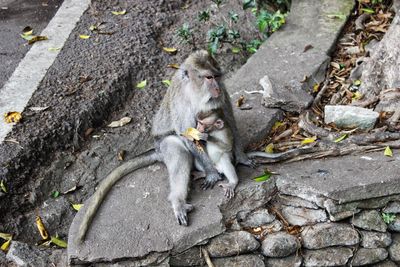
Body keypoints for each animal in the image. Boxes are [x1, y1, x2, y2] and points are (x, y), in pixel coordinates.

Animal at [76, 50, 253, 245]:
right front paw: (212, 173)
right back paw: (179, 201)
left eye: (217, 76)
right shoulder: (182, 103)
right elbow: (187, 134)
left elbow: (228, 119)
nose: (216, 88)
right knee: (177, 150)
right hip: (163, 146)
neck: (195, 92)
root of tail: (156, 150)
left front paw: (241, 157)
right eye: (208, 77)